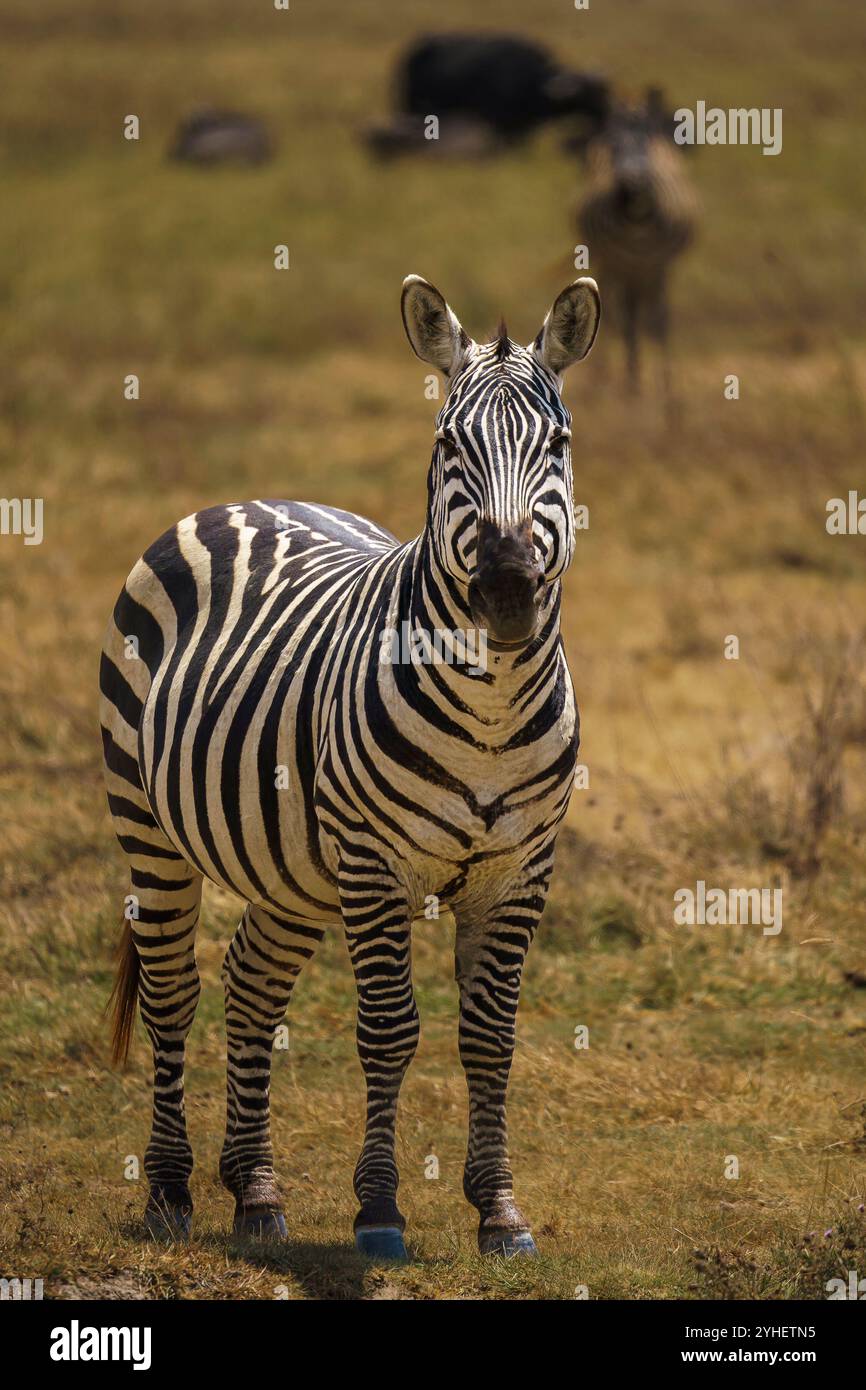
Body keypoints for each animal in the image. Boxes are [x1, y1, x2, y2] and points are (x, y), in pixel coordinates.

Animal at [101, 271, 600, 1262]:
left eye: (557, 444)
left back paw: (255, 1194)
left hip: (289, 867)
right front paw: (379, 1211)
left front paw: (500, 1211)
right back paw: (171, 1190)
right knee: (174, 991)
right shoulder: (374, 864)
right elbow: (389, 1031)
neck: (492, 708)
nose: (507, 590)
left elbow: (491, 1038)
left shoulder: (521, 870)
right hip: (149, 828)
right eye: (448, 445)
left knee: (250, 986)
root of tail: (245, 501)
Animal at [575, 88, 697, 397]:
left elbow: (660, 321)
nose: (630, 187)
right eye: (613, 146)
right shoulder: (616, 262)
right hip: (613, 265)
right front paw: (629, 385)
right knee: (619, 316)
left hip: (642, 272)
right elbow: (620, 319)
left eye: (646, 144)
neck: (637, 223)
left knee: (637, 316)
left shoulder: (659, 265)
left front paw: (668, 389)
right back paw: (611, 379)